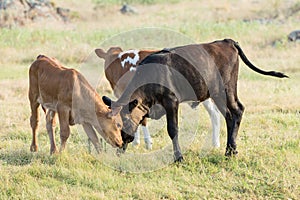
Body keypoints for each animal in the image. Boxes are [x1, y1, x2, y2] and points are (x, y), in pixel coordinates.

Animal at [103, 38, 288, 161]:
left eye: (122, 122)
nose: (119, 145)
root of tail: (226, 41)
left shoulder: (171, 101)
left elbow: (173, 129)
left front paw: (178, 157)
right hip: (220, 93)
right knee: (232, 114)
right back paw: (230, 150)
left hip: (225, 90)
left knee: (235, 112)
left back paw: (230, 151)